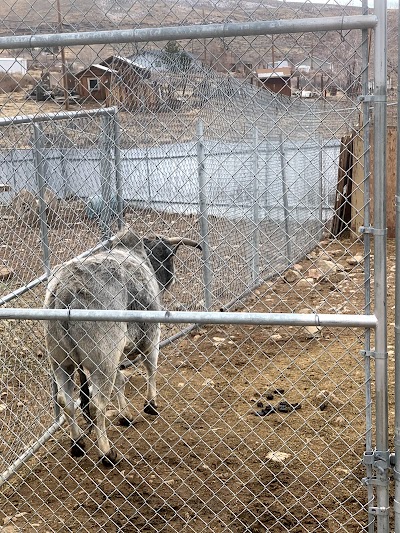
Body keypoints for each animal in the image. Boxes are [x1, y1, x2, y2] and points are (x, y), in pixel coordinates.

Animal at [44, 229, 200, 466]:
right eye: (168, 254)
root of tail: (65, 291)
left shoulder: (116, 355)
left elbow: (120, 380)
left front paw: (125, 415)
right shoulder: (151, 336)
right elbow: (151, 368)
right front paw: (150, 405)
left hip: (61, 361)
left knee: (66, 401)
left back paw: (78, 444)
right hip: (102, 362)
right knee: (97, 404)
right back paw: (107, 454)